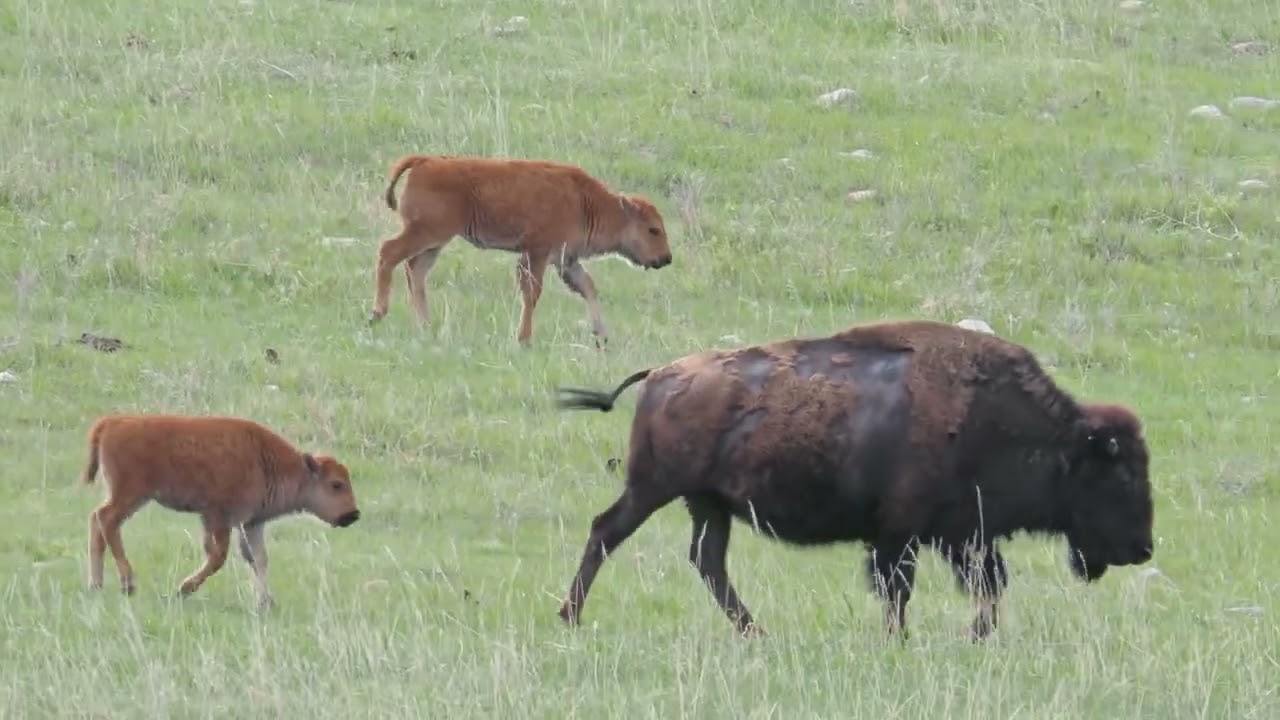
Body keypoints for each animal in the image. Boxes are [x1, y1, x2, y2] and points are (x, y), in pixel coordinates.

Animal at [81, 414, 361, 609]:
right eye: (336, 484)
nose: (353, 515)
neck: (265, 461)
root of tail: (112, 422)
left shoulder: (251, 523)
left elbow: (258, 558)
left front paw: (266, 601)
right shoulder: (219, 517)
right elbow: (218, 556)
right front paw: (184, 589)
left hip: (124, 496)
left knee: (96, 519)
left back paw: (96, 584)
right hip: (131, 496)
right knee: (107, 520)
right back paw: (128, 583)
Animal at [367, 154, 674, 347]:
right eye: (653, 230)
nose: (666, 258)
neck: (584, 202)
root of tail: (424, 161)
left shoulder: (565, 260)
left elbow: (588, 287)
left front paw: (601, 334)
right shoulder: (537, 253)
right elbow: (533, 293)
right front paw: (524, 338)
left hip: (435, 242)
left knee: (415, 270)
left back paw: (425, 324)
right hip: (427, 233)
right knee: (389, 253)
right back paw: (377, 313)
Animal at [553, 319, 1154, 640]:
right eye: (1121, 476)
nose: (1143, 548)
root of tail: (660, 374)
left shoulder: (963, 536)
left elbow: (985, 585)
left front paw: (976, 637)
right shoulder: (904, 535)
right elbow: (898, 587)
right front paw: (900, 639)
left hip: (708, 503)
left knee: (708, 561)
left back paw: (757, 633)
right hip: (653, 489)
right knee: (607, 532)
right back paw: (570, 617)